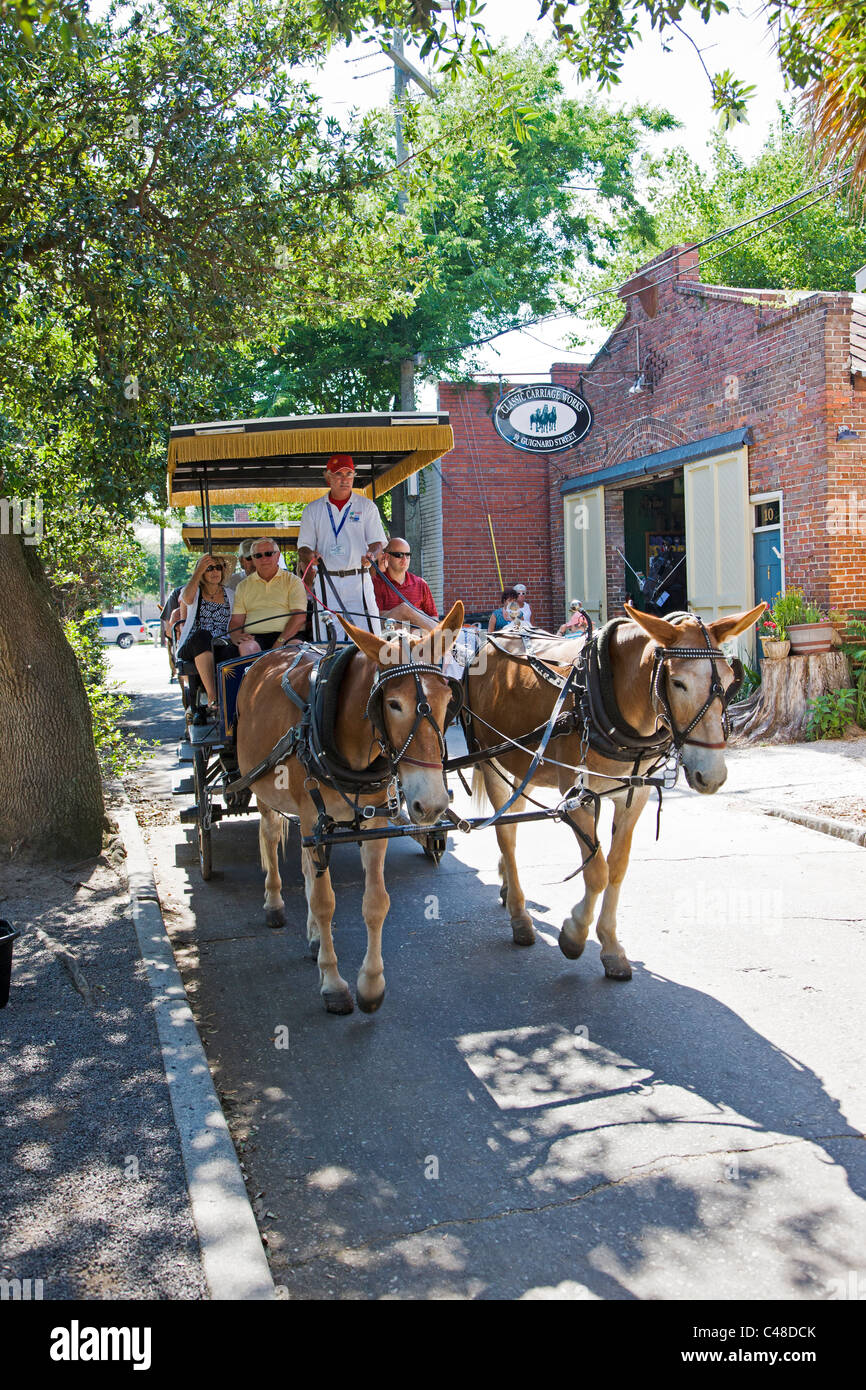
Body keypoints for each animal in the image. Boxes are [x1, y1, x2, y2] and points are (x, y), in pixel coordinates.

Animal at [235, 603, 464, 1015]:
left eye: (445, 699)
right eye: (393, 703)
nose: (433, 804)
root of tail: (274, 653)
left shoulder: (374, 824)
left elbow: (375, 902)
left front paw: (370, 985)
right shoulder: (313, 818)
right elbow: (325, 901)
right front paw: (333, 984)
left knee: (307, 865)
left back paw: (313, 936)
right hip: (264, 790)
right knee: (270, 838)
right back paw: (274, 903)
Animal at [466, 601, 765, 980]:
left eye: (728, 680)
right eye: (678, 682)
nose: (712, 776)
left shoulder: (633, 796)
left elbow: (617, 867)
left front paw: (610, 945)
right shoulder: (578, 798)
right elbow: (597, 872)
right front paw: (575, 935)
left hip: (523, 764)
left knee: (513, 823)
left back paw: (507, 883)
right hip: (491, 760)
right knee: (506, 834)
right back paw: (520, 917)